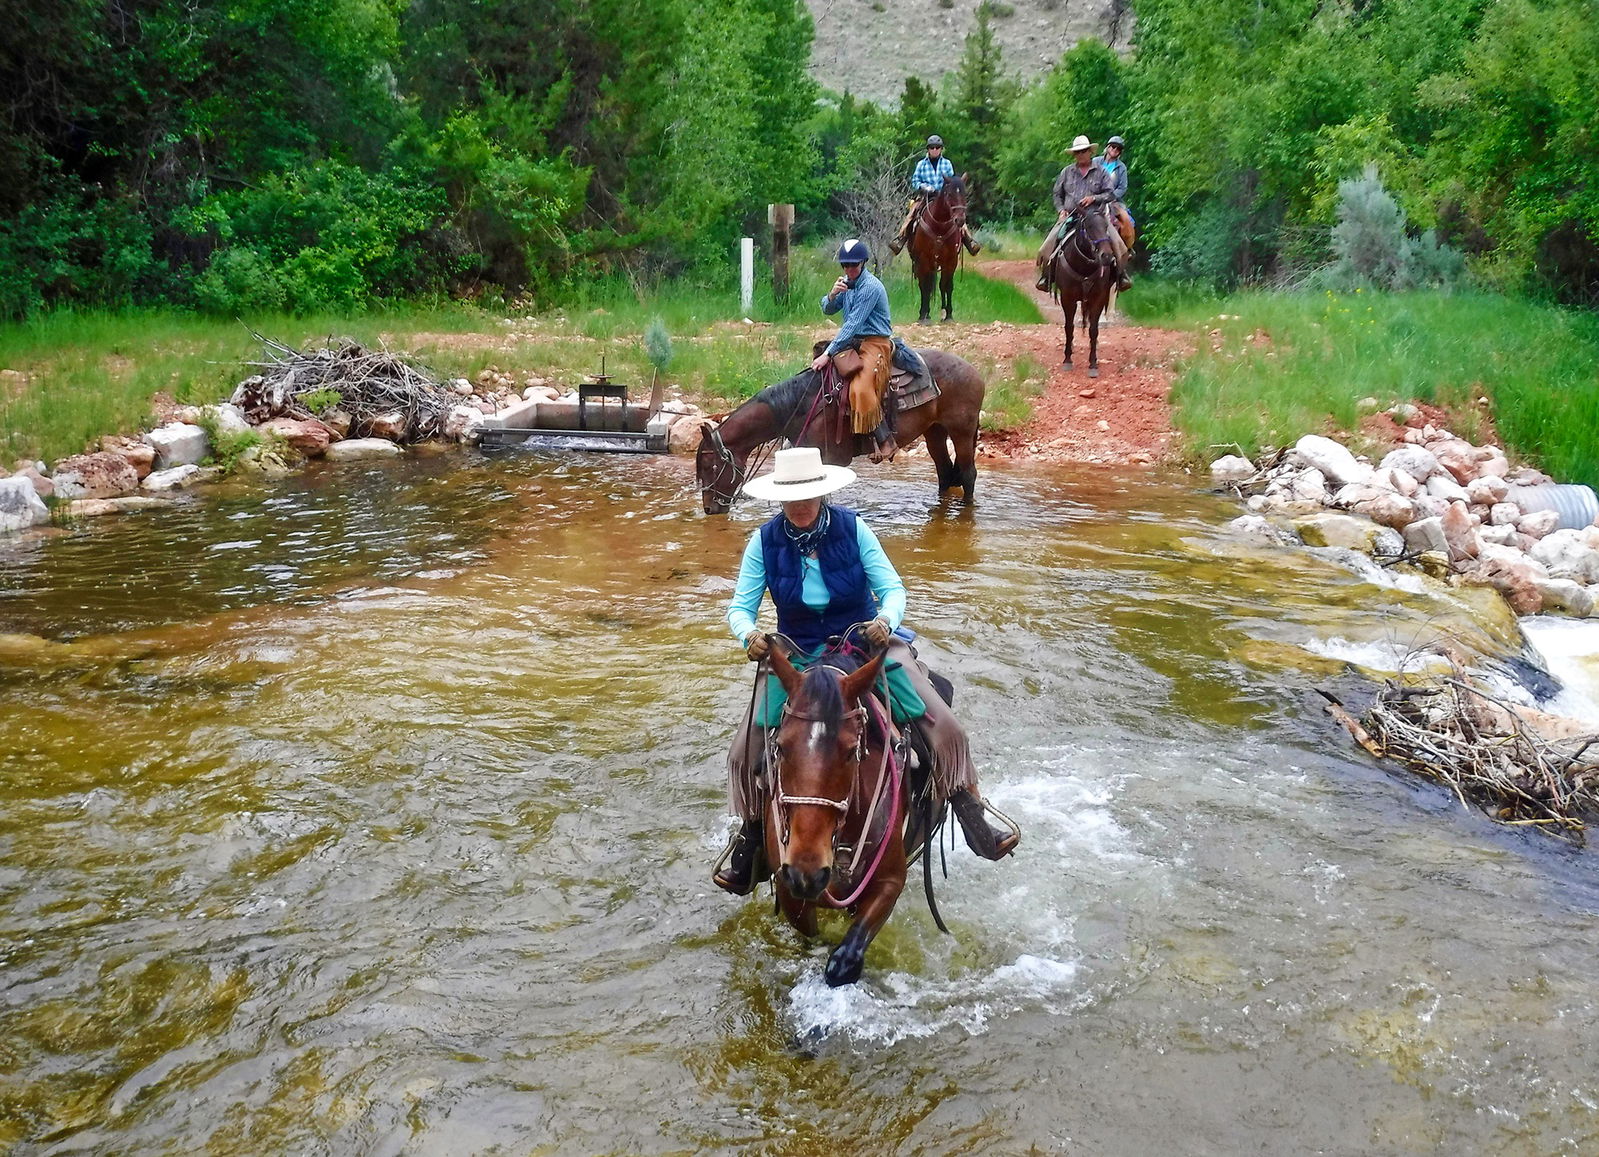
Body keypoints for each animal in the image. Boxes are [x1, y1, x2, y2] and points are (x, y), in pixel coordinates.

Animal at [695, 349, 984, 515]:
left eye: (710, 465)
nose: (708, 508)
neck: (803, 404)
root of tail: (974, 371)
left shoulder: (828, 457)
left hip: (962, 431)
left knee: (968, 474)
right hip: (934, 431)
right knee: (945, 473)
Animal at [907, 174, 969, 324]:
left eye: (964, 194)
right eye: (949, 194)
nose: (960, 220)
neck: (940, 227)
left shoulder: (951, 260)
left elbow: (947, 286)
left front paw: (948, 315)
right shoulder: (924, 259)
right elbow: (926, 287)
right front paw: (924, 315)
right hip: (922, 263)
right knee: (924, 285)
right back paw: (925, 314)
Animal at [1047, 209, 1114, 377]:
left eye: (1106, 226)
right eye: (1089, 226)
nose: (1107, 256)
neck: (1084, 267)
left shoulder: (1098, 298)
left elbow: (1093, 330)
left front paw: (1093, 364)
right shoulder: (1067, 298)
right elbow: (1069, 327)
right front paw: (1067, 360)